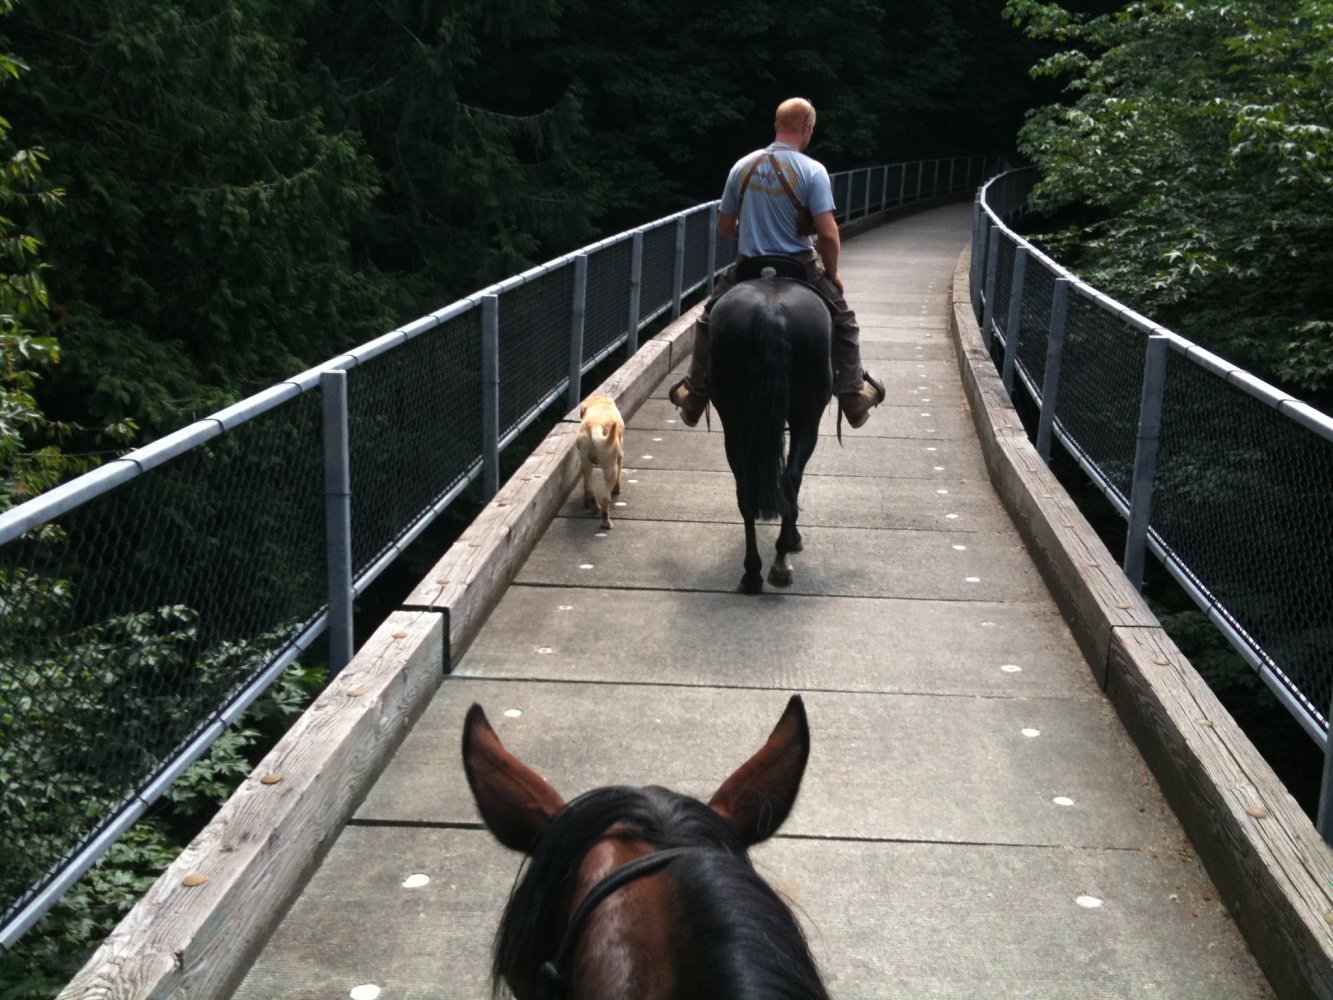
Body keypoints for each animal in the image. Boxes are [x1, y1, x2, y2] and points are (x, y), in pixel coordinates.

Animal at [575, 394, 624, 529]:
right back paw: (606, 523)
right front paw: (617, 490)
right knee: (605, 498)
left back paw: (592, 506)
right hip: (610, 467)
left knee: (590, 489)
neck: (600, 403)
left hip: (586, 463)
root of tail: (594, 426)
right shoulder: (620, 456)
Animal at [707, 261, 833, 594]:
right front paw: (793, 539)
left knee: (744, 485)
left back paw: (752, 573)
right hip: (808, 415)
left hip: (734, 417)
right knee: (791, 476)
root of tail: (771, 310)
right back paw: (781, 561)